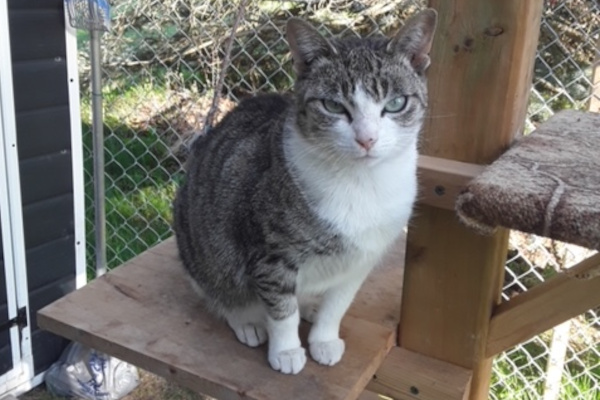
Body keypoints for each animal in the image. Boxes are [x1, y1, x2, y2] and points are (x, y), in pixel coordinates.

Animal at [171, 9, 438, 376]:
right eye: (333, 106)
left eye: (396, 103)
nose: (367, 139)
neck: (362, 183)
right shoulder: (270, 253)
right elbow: (281, 309)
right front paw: (286, 351)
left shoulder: (361, 259)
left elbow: (338, 305)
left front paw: (323, 339)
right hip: (200, 244)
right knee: (219, 288)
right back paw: (247, 322)